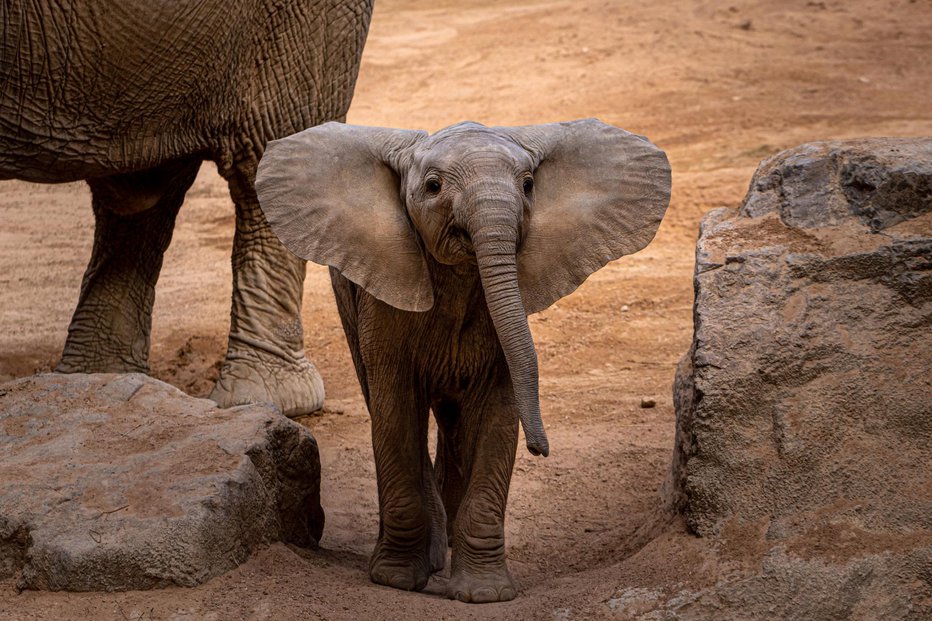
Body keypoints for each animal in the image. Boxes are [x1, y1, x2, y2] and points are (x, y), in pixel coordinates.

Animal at [256, 118, 668, 604]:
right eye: (433, 187)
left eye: (528, 186)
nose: (542, 449)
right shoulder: (384, 300)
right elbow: (396, 411)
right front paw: (396, 579)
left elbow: (498, 415)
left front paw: (483, 593)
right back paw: (431, 552)